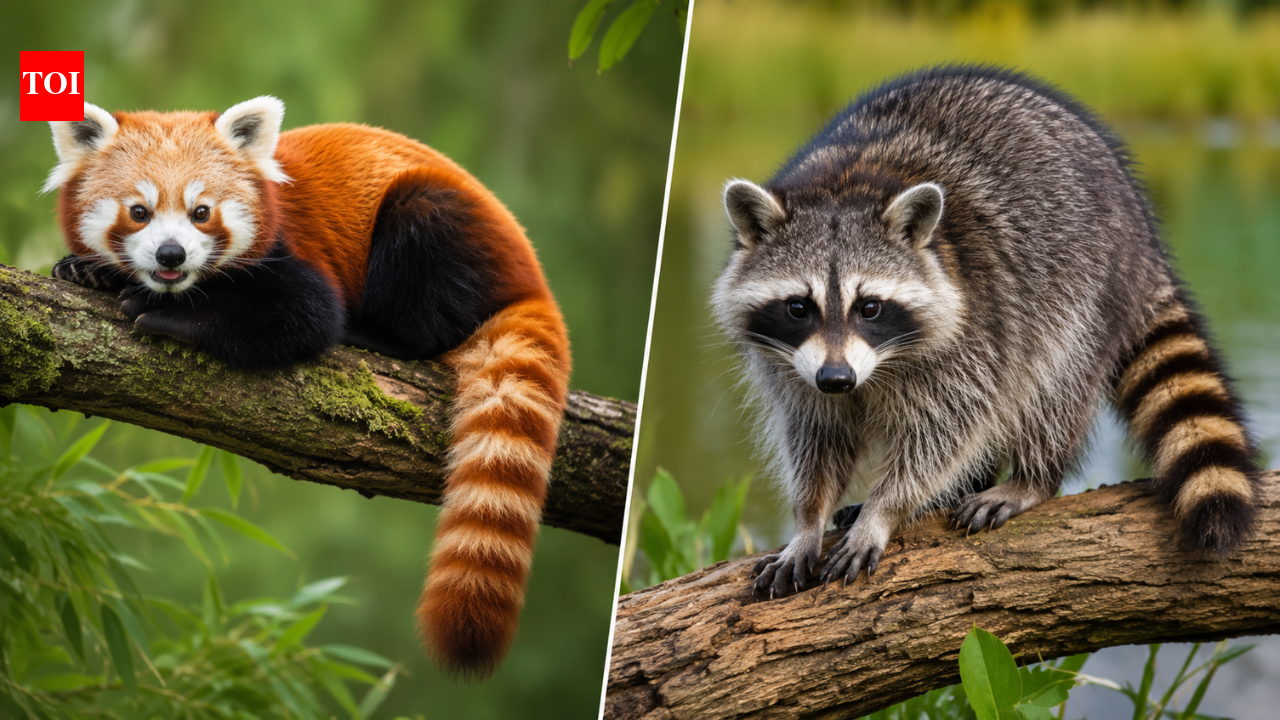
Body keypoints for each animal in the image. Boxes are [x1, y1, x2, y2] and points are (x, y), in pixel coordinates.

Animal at [712, 66, 1260, 598]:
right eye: (798, 308)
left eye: (869, 307)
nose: (836, 379)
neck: (844, 186)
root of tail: (1143, 234)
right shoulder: (794, 368)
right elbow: (816, 439)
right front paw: (808, 521)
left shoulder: (976, 330)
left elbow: (946, 429)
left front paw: (884, 511)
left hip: (1087, 296)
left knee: (1050, 389)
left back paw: (1032, 479)